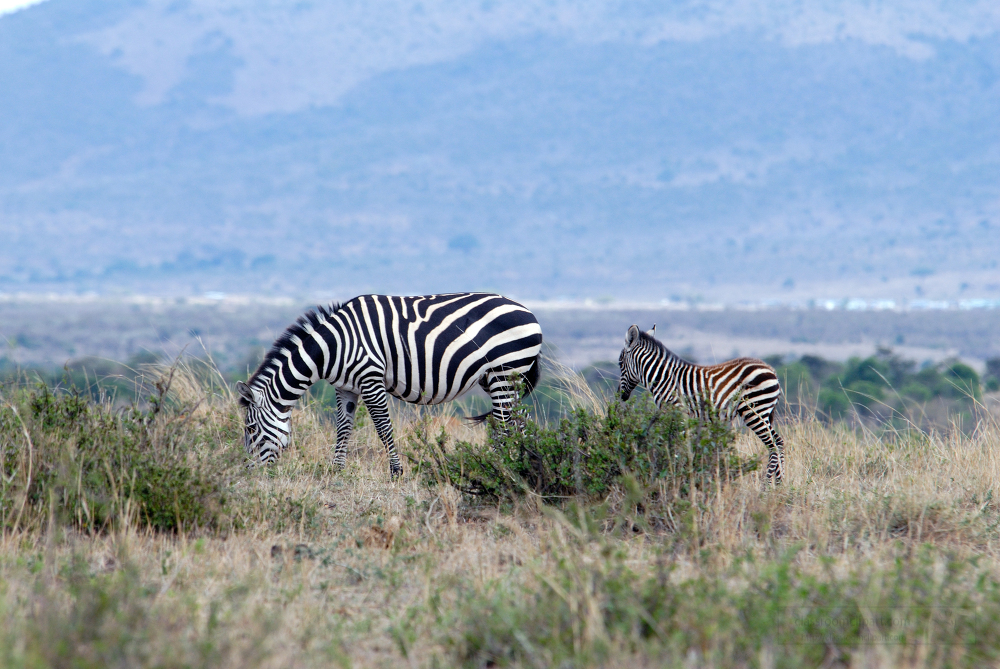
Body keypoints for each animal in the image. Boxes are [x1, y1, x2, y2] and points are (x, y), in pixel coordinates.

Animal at [234, 292, 544, 474]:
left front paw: (396, 472)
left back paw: (503, 469)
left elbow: (383, 428)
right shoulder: (345, 387)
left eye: (250, 429)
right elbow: (343, 428)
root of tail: (528, 311)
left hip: (504, 373)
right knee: (520, 421)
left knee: (505, 428)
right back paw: (527, 465)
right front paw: (336, 470)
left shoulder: (371, 379)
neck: (332, 347)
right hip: (499, 379)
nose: (250, 472)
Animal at [616, 320, 788, 482]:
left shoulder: (678, 411)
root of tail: (771, 370)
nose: (620, 394)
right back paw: (779, 484)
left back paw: (767, 486)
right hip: (763, 412)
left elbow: (679, 446)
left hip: (755, 410)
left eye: (620, 363)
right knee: (779, 442)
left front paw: (679, 474)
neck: (663, 377)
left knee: (773, 445)